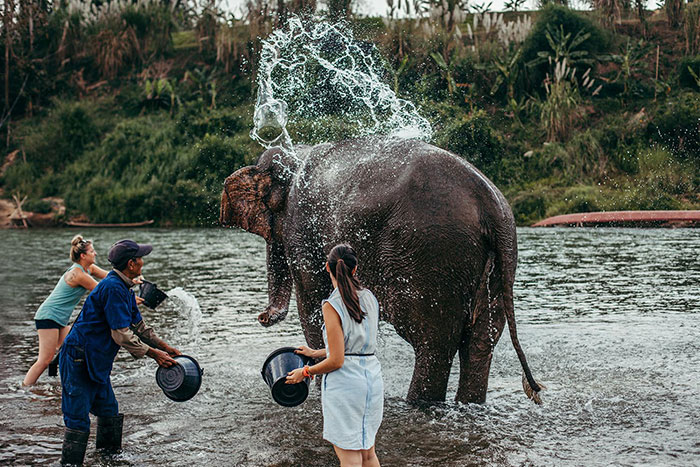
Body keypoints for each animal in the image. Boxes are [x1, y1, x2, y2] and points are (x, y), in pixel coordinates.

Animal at [219, 137, 540, 404]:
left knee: (434, 343)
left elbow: (313, 304)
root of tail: (491, 204)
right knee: (480, 342)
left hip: (432, 255)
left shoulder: (302, 228)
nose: (263, 317)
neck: (298, 153)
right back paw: (468, 403)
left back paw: (418, 403)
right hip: (497, 262)